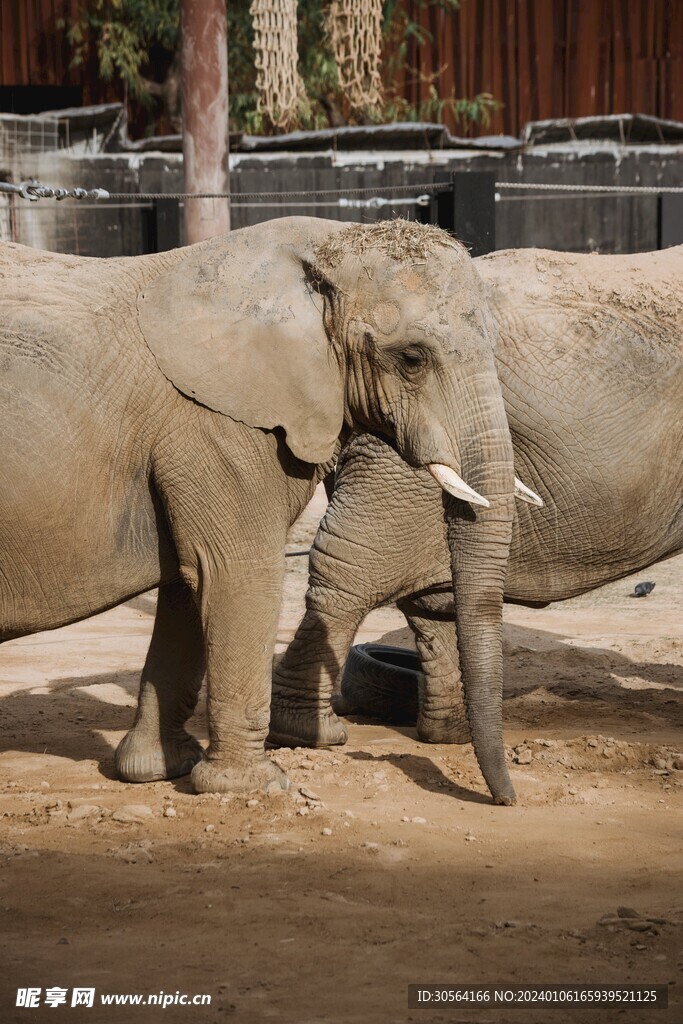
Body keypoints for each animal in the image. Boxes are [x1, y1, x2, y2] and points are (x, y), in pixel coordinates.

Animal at [0, 216, 522, 797]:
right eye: (412, 359)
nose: (505, 800)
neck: (322, 248)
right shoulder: (218, 425)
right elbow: (236, 573)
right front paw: (255, 786)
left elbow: (188, 583)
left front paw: (158, 771)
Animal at [270, 243, 683, 804]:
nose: (511, 803)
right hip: (407, 441)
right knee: (353, 567)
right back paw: (306, 734)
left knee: (429, 596)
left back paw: (451, 733)